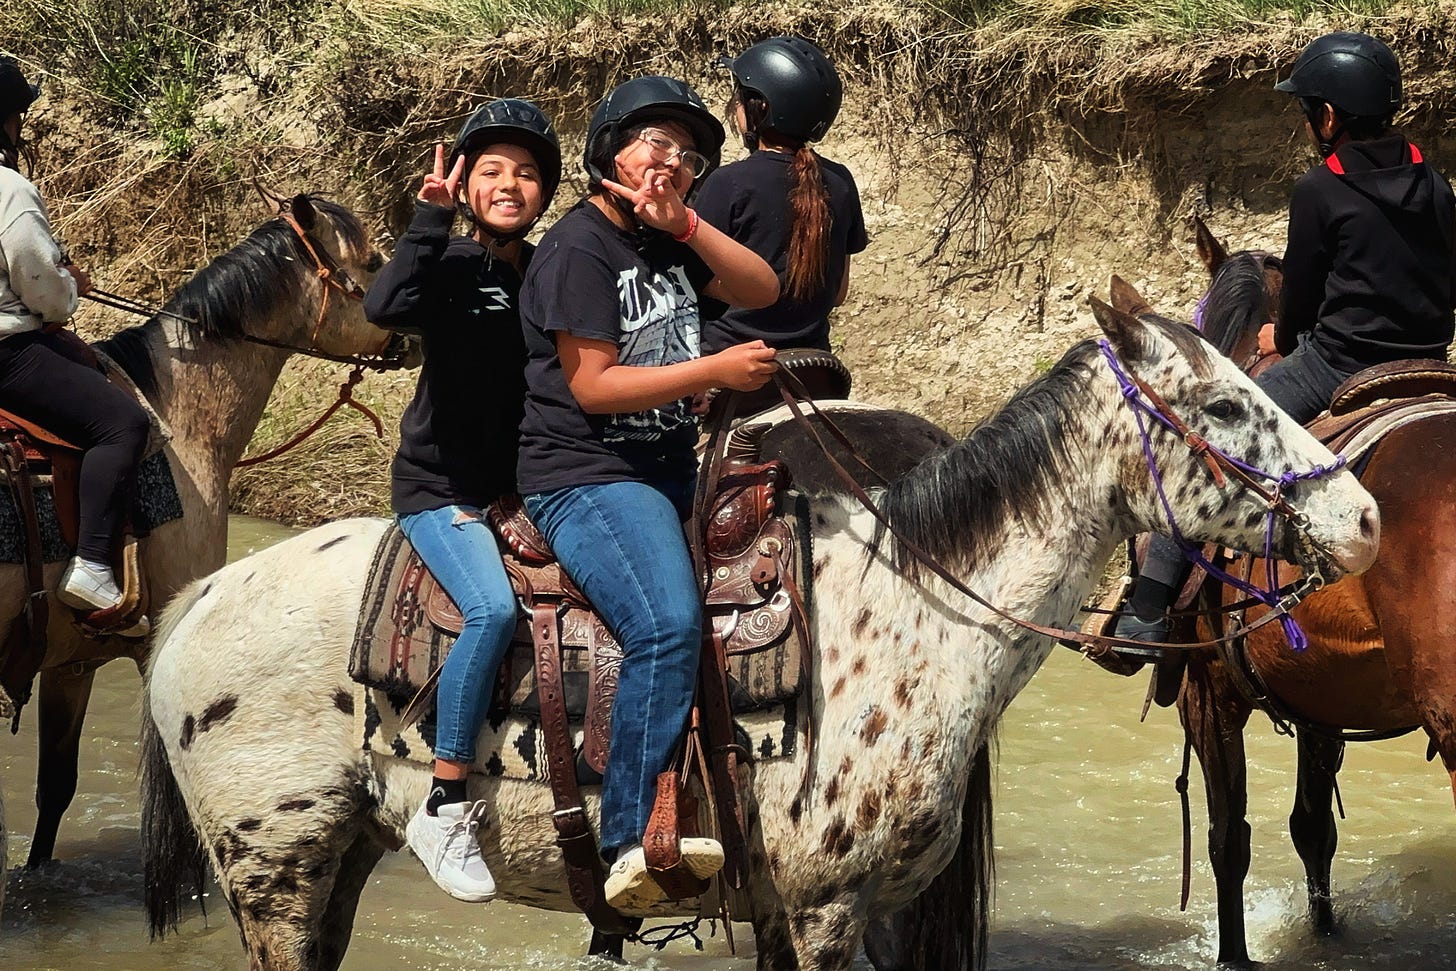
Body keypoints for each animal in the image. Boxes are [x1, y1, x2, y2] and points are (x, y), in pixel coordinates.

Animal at [136, 299, 1374, 966]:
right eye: (1223, 406)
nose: (1360, 518)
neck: (918, 618)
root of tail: (204, 597)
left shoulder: (822, 908)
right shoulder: (829, 908)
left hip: (334, 857)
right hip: (275, 868)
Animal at [1147, 216, 1456, 966]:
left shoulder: (1207, 691)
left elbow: (1228, 841)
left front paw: (1232, 954)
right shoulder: (1322, 697)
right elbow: (1312, 827)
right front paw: (1325, 933)